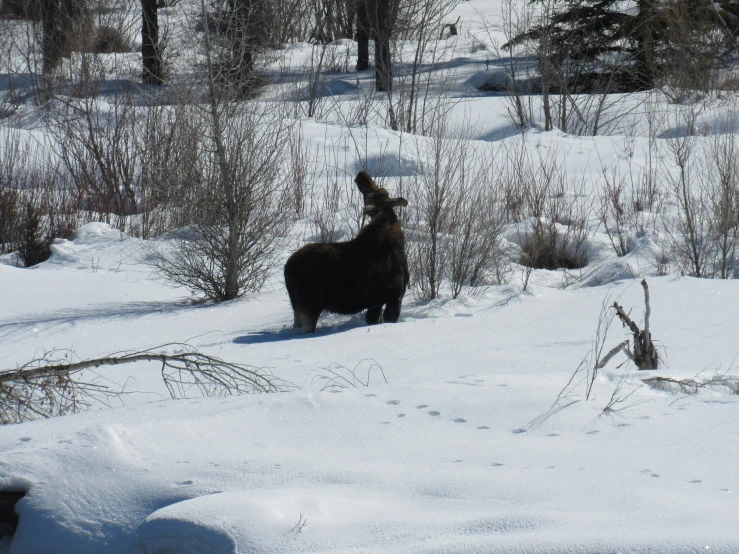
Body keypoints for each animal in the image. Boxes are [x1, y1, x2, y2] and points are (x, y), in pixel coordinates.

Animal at [284, 170, 410, 330]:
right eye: (377, 193)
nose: (361, 175)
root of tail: (286, 269)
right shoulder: (395, 295)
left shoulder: (376, 302)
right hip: (309, 305)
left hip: (297, 308)